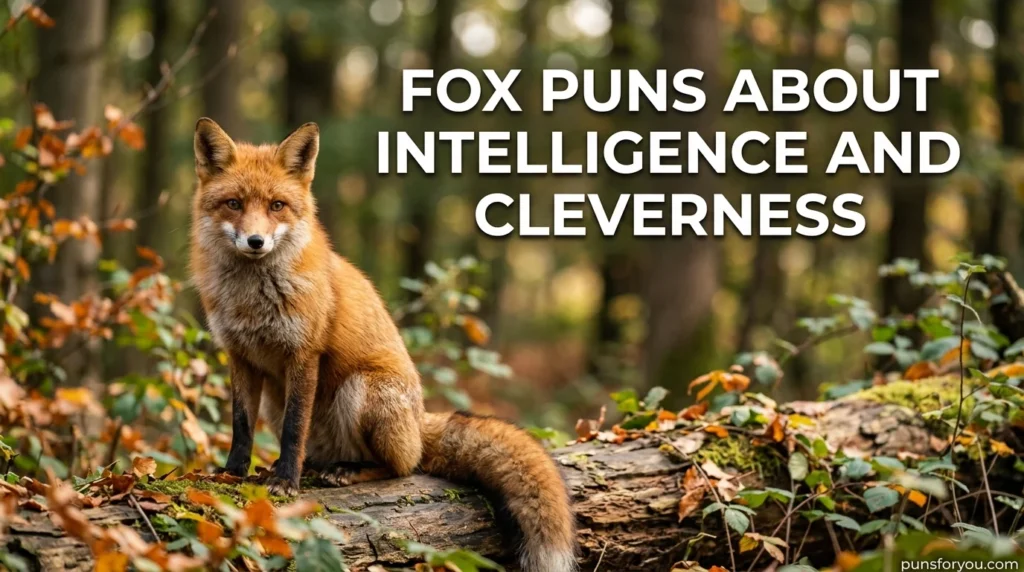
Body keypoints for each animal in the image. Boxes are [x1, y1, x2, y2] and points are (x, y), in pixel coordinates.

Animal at [188, 118, 577, 572]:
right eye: (233, 204)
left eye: (277, 206)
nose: (255, 241)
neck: (252, 298)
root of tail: (421, 420)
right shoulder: (240, 357)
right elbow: (241, 426)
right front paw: (231, 475)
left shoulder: (304, 354)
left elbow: (293, 429)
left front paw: (285, 482)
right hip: (275, 398)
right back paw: (319, 466)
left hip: (361, 390)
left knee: (402, 467)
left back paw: (348, 471)